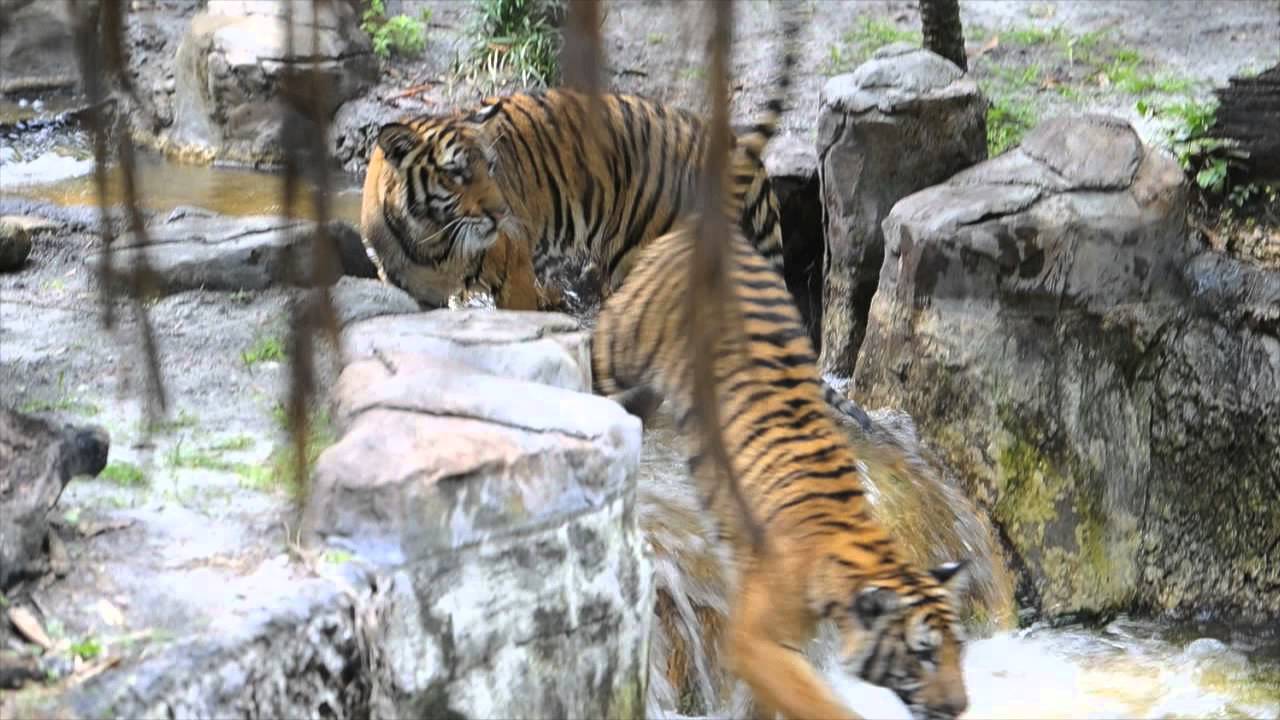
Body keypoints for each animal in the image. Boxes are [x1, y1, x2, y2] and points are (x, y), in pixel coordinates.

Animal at [590, 216, 973, 720]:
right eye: (924, 653)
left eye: (957, 648)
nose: (960, 706)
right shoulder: (753, 641)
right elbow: (816, 701)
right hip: (622, 344)